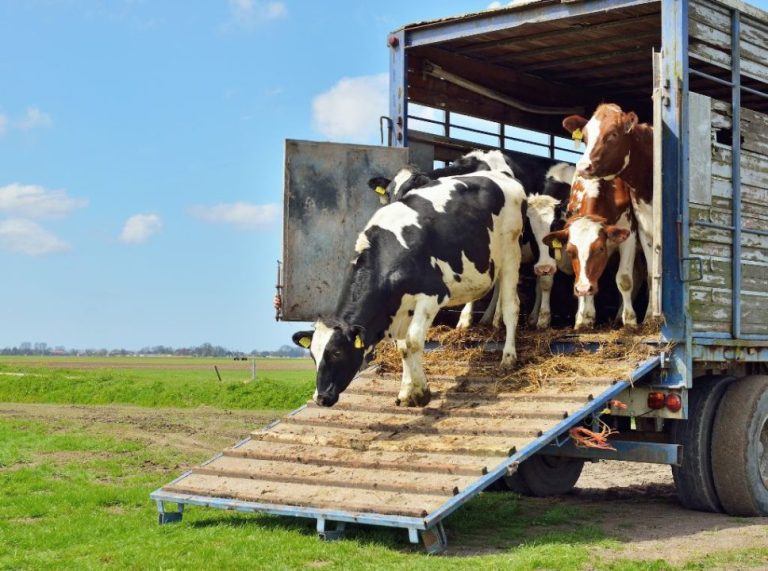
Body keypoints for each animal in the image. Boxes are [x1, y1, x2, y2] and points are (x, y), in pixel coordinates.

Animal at [292, 151, 524, 406]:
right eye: (313, 355)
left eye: (337, 352)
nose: (321, 397)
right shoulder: (401, 308)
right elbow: (402, 347)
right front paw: (406, 391)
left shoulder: (431, 295)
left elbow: (413, 342)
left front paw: (422, 392)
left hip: (511, 251)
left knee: (511, 305)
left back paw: (508, 356)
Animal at [560, 104, 656, 322]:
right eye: (585, 137)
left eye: (612, 134)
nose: (583, 167)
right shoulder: (644, 228)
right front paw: (583, 317)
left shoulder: (630, 232)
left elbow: (624, 278)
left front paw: (632, 320)